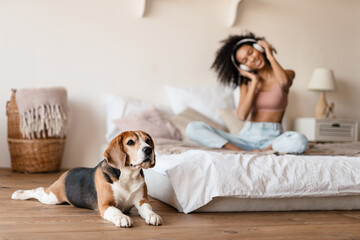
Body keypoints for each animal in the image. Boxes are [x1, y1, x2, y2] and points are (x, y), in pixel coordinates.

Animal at [11, 130, 162, 228]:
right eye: (130, 142)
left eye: (148, 141)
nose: (148, 150)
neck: (128, 176)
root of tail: (66, 172)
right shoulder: (105, 205)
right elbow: (116, 211)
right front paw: (122, 217)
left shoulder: (142, 201)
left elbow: (148, 208)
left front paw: (153, 215)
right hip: (52, 197)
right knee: (38, 190)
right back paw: (18, 194)